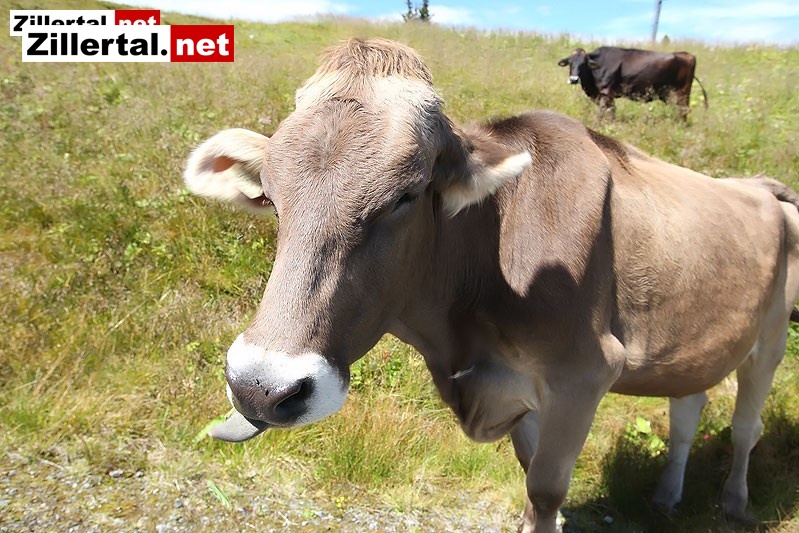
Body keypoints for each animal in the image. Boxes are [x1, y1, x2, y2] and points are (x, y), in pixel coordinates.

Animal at [557, 46, 708, 121]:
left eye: (584, 64)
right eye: (570, 62)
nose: (574, 79)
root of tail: (687, 55)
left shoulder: (606, 92)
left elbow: (601, 113)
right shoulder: (608, 95)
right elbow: (611, 111)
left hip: (682, 92)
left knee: (683, 110)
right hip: (669, 95)